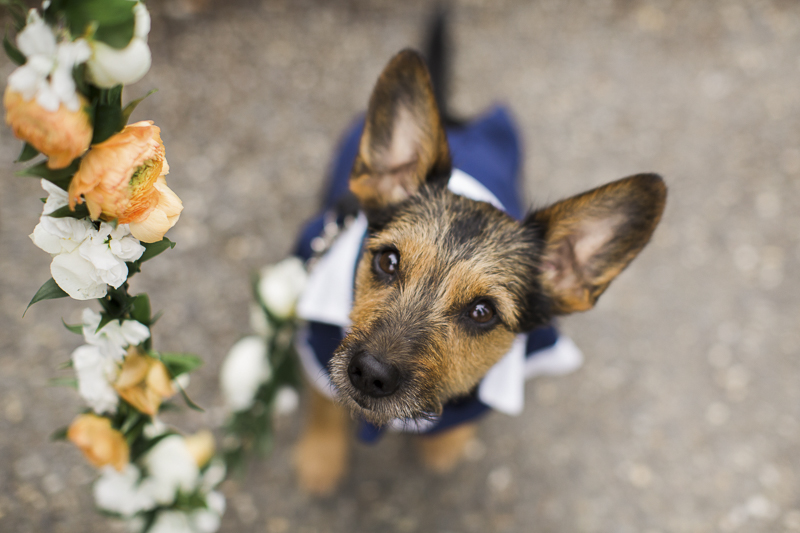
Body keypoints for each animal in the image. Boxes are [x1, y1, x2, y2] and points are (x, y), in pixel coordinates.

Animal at [290, 42, 664, 494]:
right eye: (387, 261)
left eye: (482, 312)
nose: (369, 373)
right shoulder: (314, 347)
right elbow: (323, 405)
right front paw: (321, 457)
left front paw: (444, 445)